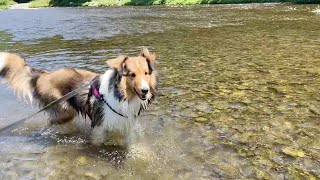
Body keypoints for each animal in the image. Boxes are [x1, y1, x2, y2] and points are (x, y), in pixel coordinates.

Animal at [0, 47, 158, 146]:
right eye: (132, 74)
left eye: (146, 73)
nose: (145, 91)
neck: (122, 96)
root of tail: (43, 74)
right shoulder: (100, 125)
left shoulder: (127, 124)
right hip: (64, 111)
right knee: (49, 123)